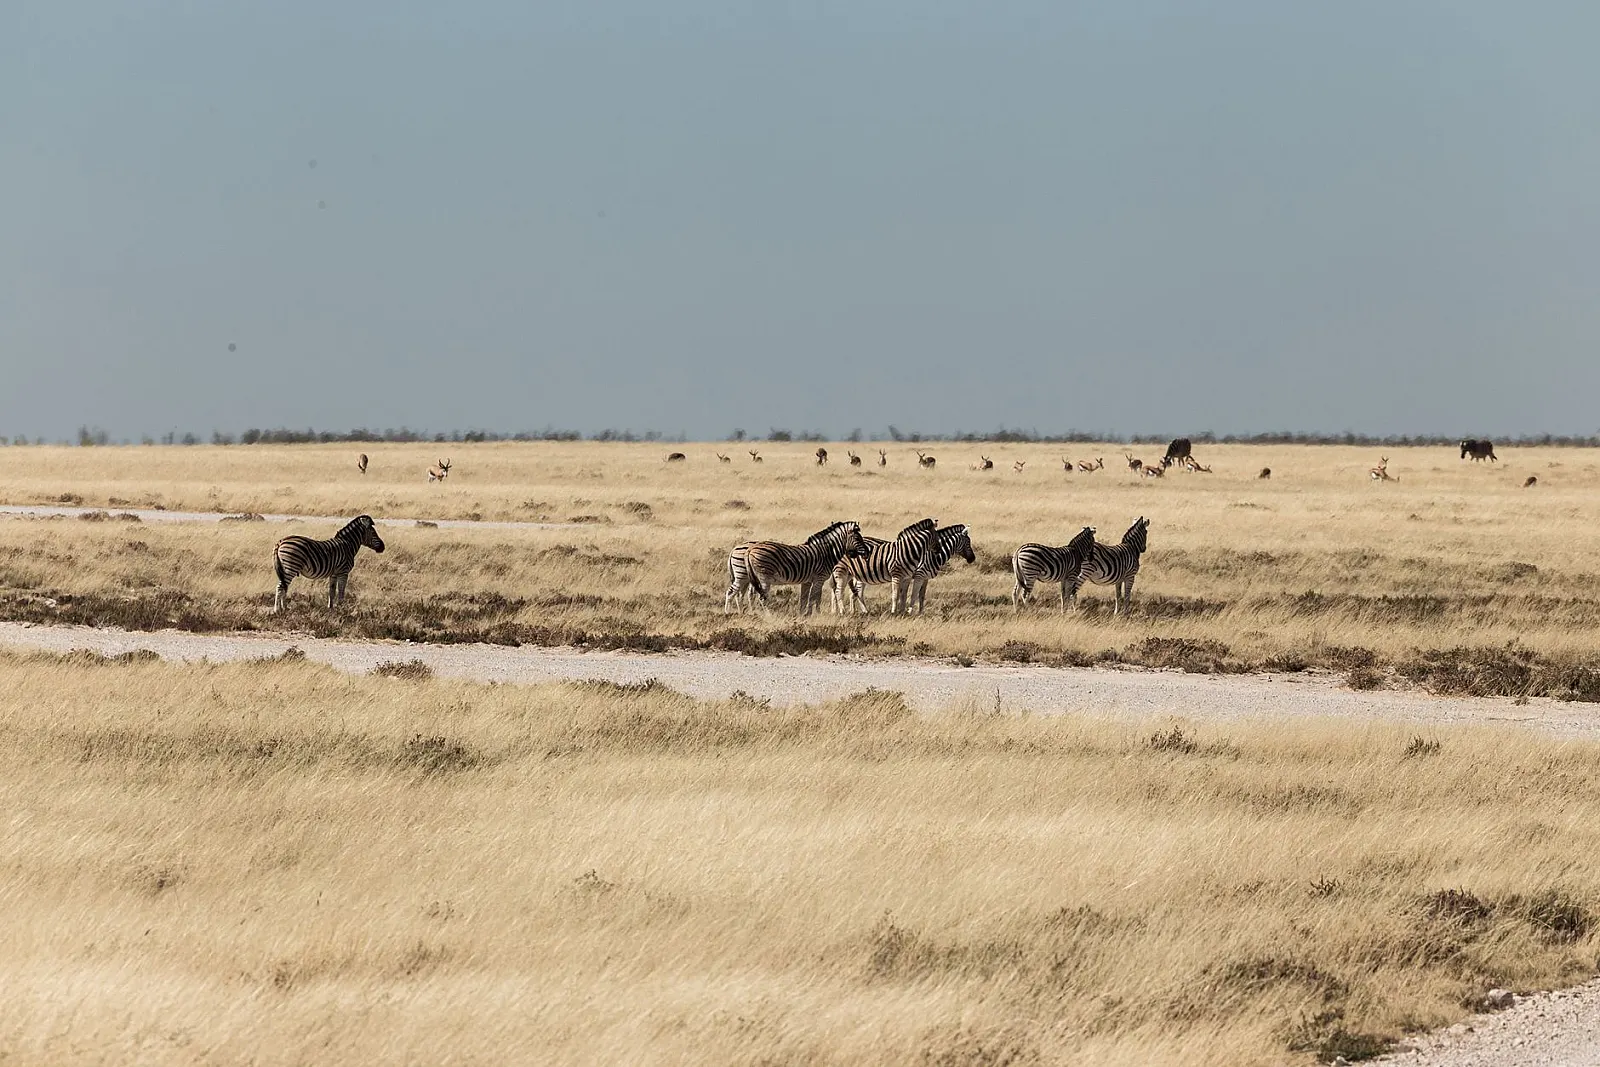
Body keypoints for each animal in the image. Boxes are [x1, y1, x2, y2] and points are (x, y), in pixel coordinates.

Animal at [726, 521, 869, 614]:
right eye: (858, 538)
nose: (867, 553)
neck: (826, 552)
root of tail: (749, 549)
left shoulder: (807, 580)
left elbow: (805, 598)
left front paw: (803, 614)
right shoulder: (819, 578)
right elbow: (815, 597)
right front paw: (813, 614)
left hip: (745, 576)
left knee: (736, 593)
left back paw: (735, 613)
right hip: (761, 577)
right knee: (757, 596)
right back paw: (766, 615)